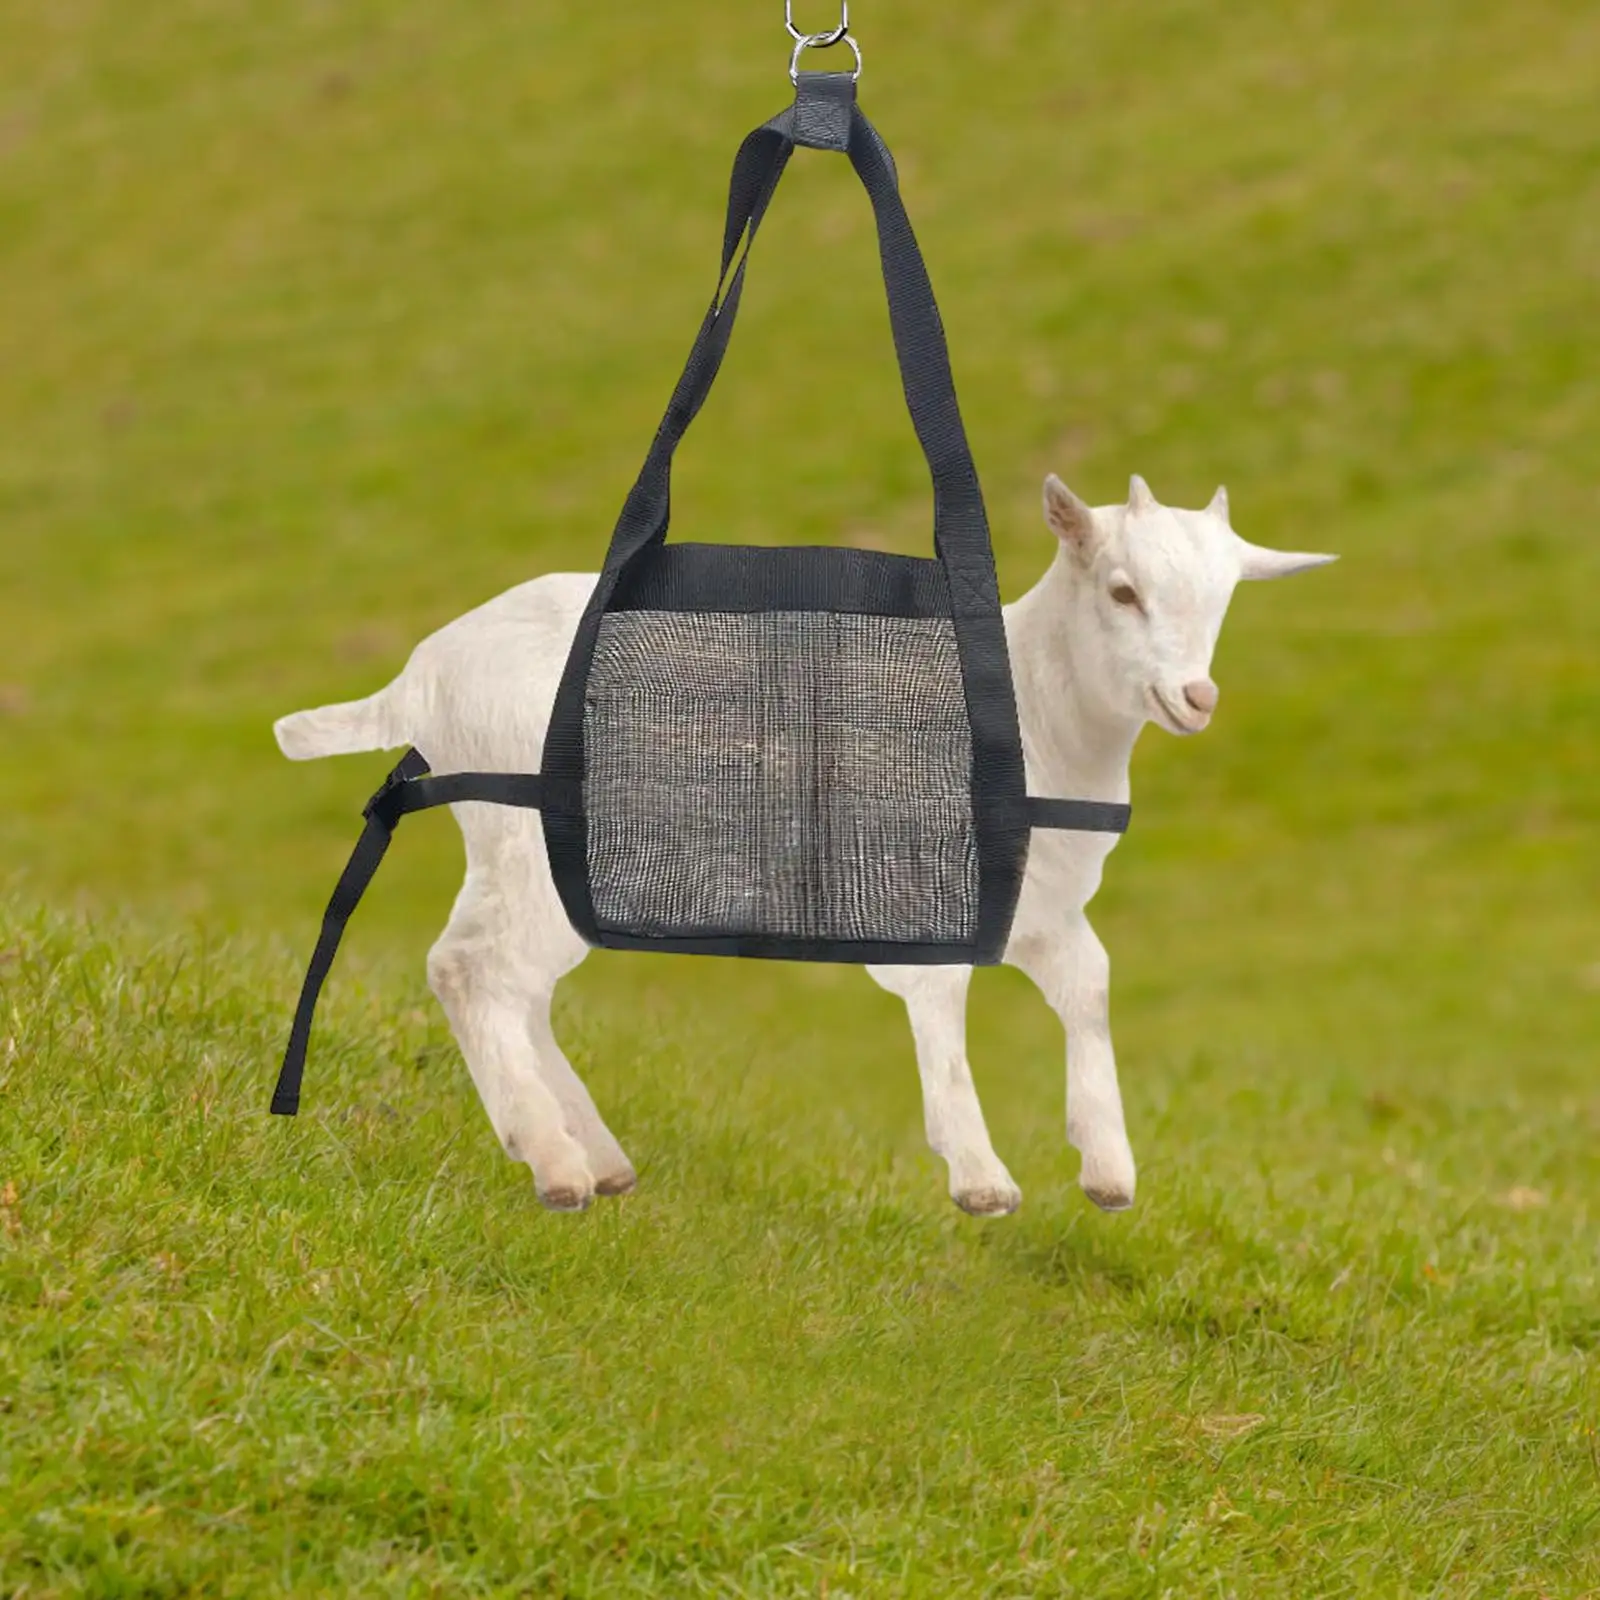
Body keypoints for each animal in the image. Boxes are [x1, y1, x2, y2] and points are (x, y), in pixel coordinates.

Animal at [275, 475, 1335, 1215]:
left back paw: (594, 1154)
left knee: (511, 981)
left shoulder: (1045, 909)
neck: (1037, 708)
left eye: (1224, 602)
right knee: (469, 968)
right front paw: (981, 1177)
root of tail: (421, 676)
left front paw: (1108, 1166)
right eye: (1121, 591)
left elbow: (1093, 987)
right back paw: (553, 1160)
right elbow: (943, 1008)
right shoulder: (920, 890)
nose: (1195, 698)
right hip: (527, 837)